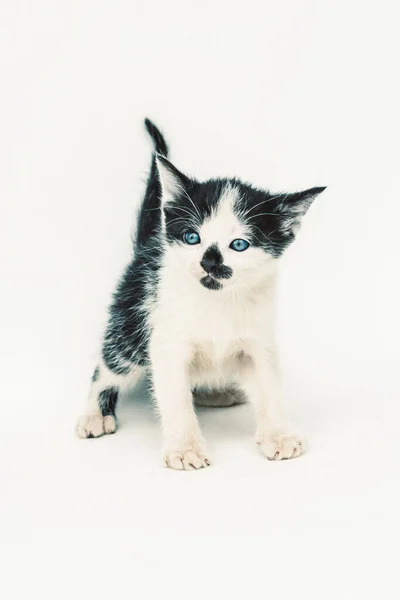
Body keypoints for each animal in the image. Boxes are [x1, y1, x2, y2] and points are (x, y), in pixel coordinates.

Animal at [77, 119, 324, 472]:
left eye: (239, 244)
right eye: (192, 237)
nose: (209, 261)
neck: (217, 302)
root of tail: (146, 246)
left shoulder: (260, 340)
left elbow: (269, 385)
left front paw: (279, 435)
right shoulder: (166, 341)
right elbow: (174, 396)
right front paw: (185, 447)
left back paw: (213, 392)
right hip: (133, 319)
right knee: (110, 365)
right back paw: (95, 414)